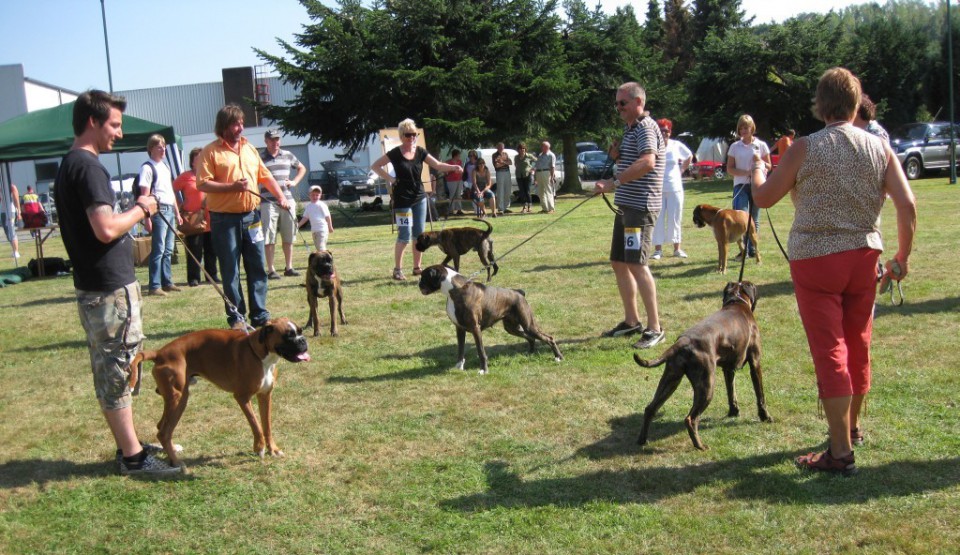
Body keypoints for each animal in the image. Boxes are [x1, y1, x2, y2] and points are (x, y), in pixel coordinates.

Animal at [128, 318, 312, 470]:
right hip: (178, 398)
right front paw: (259, 448)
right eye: (288, 336)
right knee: (164, 432)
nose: (303, 341)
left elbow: (267, 426)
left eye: (301, 331)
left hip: (176, 399)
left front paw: (273, 449)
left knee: (162, 427)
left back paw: (172, 450)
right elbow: (256, 425)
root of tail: (160, 353)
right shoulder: (242, 398)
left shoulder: (265, 396)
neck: (260, 355)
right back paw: (176, 462)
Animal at [418, 264, 564, 374]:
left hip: (528, 325)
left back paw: (558, 357)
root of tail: (519, 293)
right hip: (512, 328)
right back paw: (530, 352)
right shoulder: (459, 329)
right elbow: (460, 350)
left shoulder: (475, 328)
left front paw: (483, 370)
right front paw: (459, 367)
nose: (418, 284)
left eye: (423, 277)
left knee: (549, 338)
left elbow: (480, 351)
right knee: (530, 338)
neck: (454, 290)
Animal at [632, 282, 772, 452]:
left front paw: (733, 412)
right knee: (690, 419)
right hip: (706, 386)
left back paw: (642, 440)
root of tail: (683, 341)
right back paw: (700, 446)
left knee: (650, 409)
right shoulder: (755, 363)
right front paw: (765, 417)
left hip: (670, 380)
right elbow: (760, 396)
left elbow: (731, 393)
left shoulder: (728, 369)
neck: (737, 301)